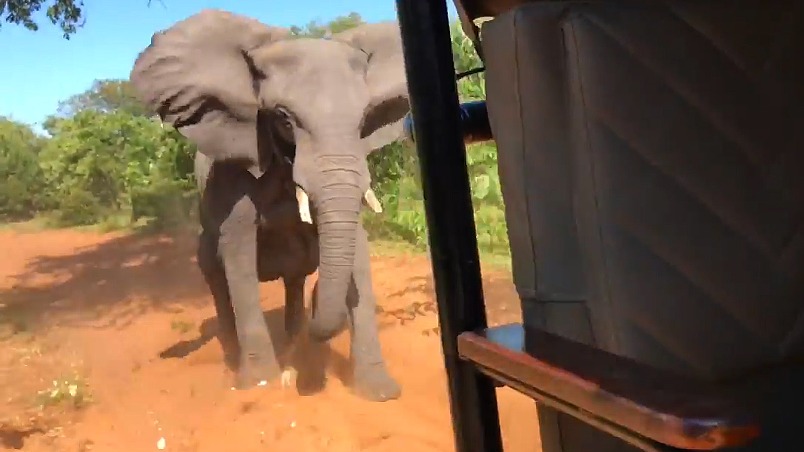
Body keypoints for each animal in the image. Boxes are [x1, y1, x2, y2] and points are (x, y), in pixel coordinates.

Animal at [129, 9, 411, 402]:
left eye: (364, 118)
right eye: (284, 118)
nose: (319, 300)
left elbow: (358, 251)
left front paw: (381, 392)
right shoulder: (233, 180)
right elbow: (238, 255)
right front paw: (259, 384)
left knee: (294, 278)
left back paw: (293, 347)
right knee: (217, 280)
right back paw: (237, 363)